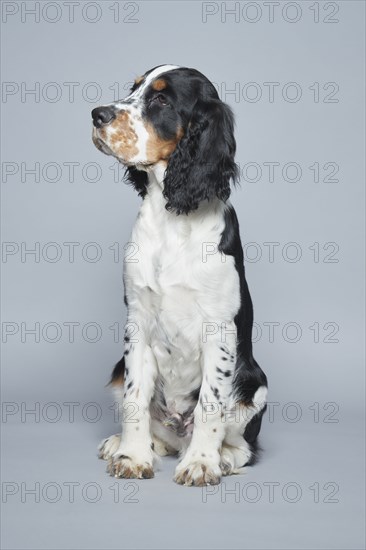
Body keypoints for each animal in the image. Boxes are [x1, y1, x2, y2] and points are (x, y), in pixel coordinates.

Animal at [91, 64, 268, 488]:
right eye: (134, 89)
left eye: (161, 99)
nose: (96, 115)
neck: (173, 218)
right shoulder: (137, 320)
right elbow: (136, 397)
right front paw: (132, 456)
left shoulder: (219, 329)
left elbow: (209, 404)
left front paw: (202, 464)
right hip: (117, 370)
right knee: (154, 425)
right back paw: (126, 443)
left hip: (255, 385)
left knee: (243, 444)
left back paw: (220, 457)